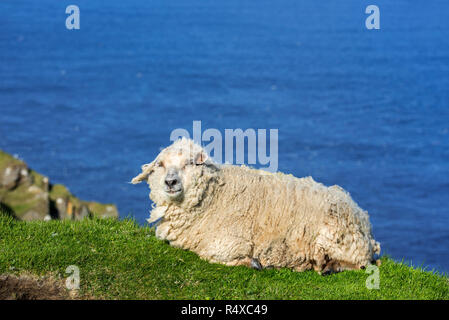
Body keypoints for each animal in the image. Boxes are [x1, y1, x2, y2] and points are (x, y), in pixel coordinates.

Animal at [131, 138, 380, 272]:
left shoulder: (229, 241)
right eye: (160, 165)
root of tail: (363, 216)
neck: (213, 195)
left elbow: (211, 254)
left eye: (191, 163)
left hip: (336, 237)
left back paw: (329, 266)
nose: (170, 182)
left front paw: (253, 263)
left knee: (361, 264)